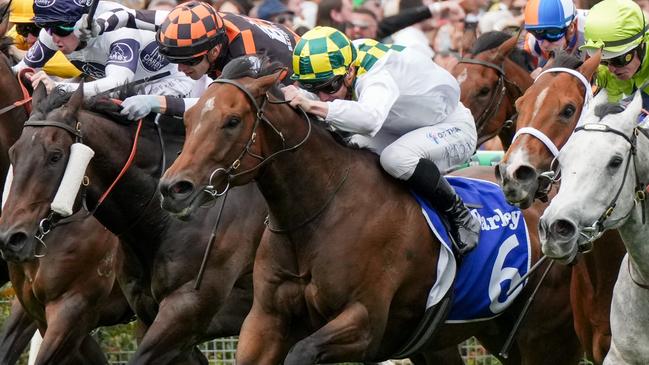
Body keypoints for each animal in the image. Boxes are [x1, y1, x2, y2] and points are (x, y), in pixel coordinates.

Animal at [159, 56, 580, 364]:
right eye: (190, 118)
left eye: (231, 121)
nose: (174, 189)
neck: (320, 213)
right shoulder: (265, 319)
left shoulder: (364, 322)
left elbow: (303, 351)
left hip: (542, 336)